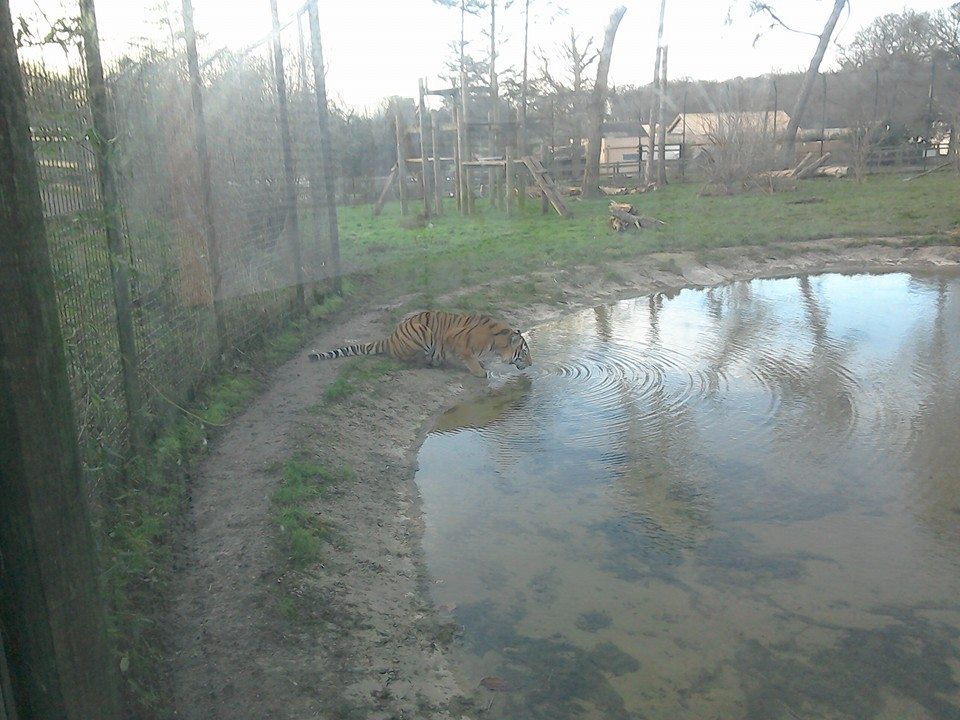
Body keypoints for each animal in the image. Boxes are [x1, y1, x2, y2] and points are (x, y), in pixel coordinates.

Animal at [308, 310, 532, 377]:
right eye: (524, 352)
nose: (532, 364)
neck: (497, 343)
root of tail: (390, 337)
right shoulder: (455, 340)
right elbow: (468, 358)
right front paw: (480, 371)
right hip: (422, 330)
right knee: (408, 359)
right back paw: (430, 362)